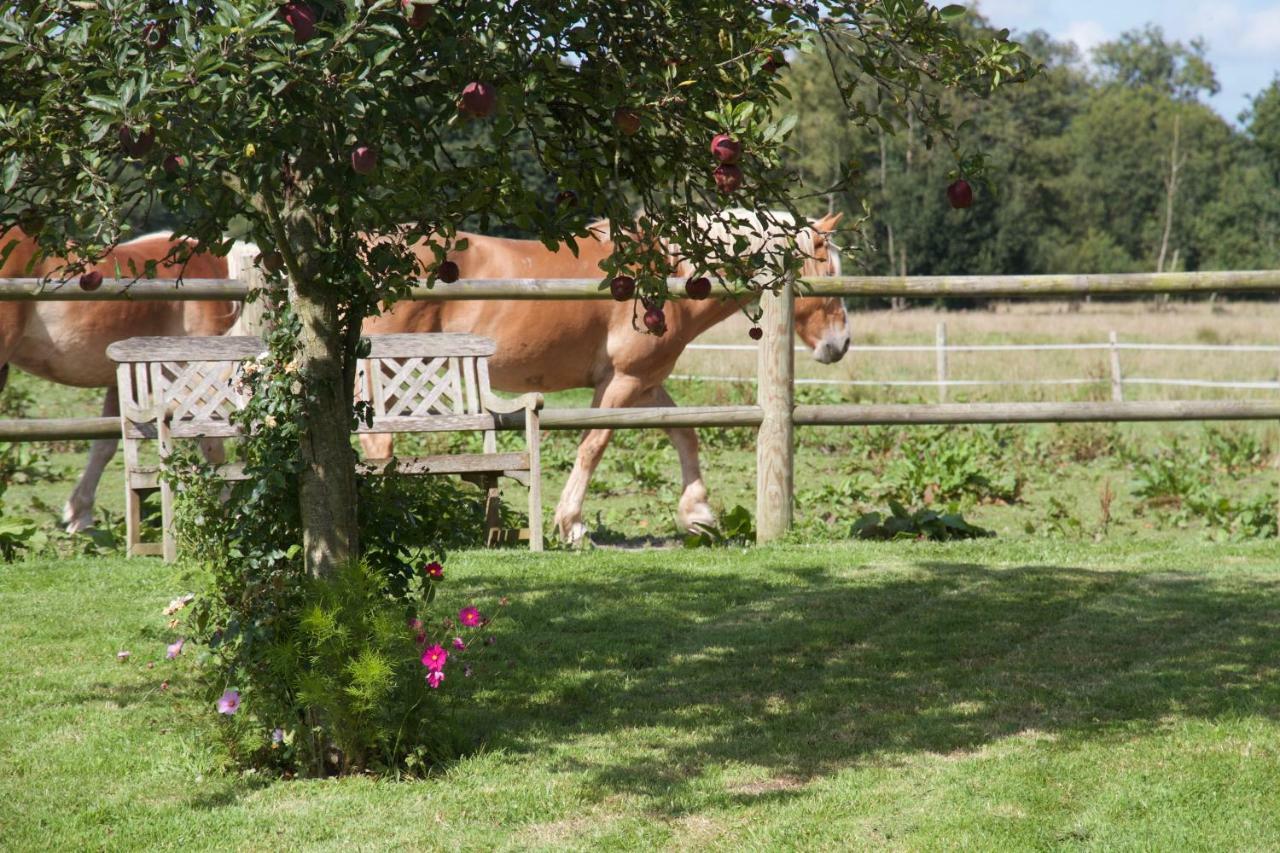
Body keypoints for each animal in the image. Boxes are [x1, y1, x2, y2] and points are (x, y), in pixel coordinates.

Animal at [368, 210, 849, 540]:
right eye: (829, 272)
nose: (841, 344)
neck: (670, 275)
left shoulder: (645, 382)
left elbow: (685, 434)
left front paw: (698, 514)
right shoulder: (621, 381)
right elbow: (594, 445)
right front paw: (572, 524)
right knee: (379, 442)